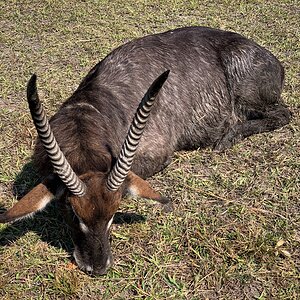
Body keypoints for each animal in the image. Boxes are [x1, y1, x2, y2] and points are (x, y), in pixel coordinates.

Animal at [0, 27, 290, 276]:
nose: (99, 267)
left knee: (284, 114)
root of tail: (274, 60)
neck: (91, 108)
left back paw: (229, 136)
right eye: (72, 212)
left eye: (114, 213)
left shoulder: (157, 154)